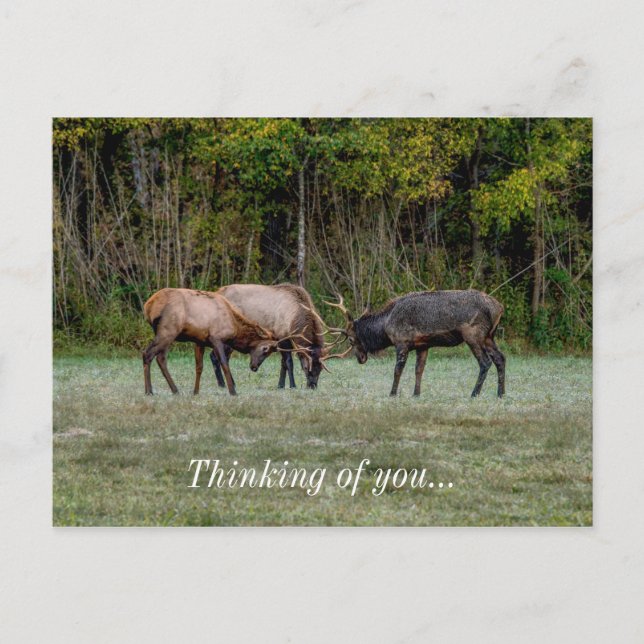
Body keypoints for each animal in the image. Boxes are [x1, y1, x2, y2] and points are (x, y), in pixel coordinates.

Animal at [142, 288, 301, 396]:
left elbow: (199, 367)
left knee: (160, 358)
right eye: (265, 349)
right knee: (147, 353)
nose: (254, 367)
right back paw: (149, 391)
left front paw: (195, 391)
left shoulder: (199, 340)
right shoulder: (216, 338)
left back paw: (174, 390)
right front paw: (232, 391)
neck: (234, 328)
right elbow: (224, 363)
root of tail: (148, 306)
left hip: (165, 333)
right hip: (168, 331)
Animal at [326, 290, 506, 398]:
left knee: (485, 362)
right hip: (489, 337)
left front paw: (392, 393)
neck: (386, 326)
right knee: (500, 358)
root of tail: (498, 308)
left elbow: (397, 370)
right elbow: (419, 370)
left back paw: (474, 393)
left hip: (473, 335)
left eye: (351, 339)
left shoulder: (401, 342)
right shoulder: (423, 345)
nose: (360, 358)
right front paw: (416, 394)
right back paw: (501, 393)